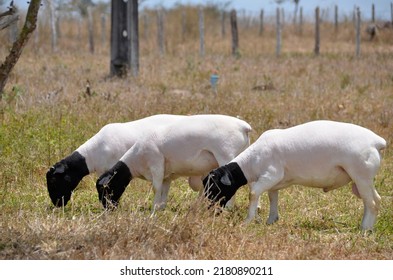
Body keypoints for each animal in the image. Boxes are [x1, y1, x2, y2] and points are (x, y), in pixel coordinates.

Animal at [94, 115, 251, 211]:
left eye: (105, 188)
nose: (107, 209)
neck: (136, 159)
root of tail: (243, 126)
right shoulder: (166, 175)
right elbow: (164, 191)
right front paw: (160, 208)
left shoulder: (156, 165)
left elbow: (156, 188)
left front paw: (153, 211)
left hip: (226, 155)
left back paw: (227, 209)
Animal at [204, 119, 388, 231]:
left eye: (215, 186)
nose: (209, 211)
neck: (251, 161)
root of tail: (377, 141)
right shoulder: (273, 182)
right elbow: (272, 197)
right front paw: (271, 220)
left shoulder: (271, 175)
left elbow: (254, 193)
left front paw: (248, 221)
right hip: (364, 180)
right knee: (376, 200)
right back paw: (368, 227)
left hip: (361, 176)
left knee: (371, 203)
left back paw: (364, 229)